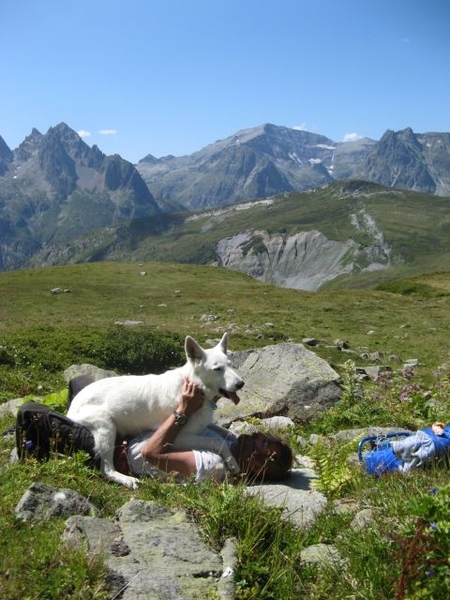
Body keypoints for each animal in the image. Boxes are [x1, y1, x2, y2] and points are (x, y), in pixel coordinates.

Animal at [67, 332, 244, 488]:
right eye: (217, 369)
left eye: (230, 365)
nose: (241, 384)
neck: (195, 386)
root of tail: (71, 408)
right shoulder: (179, 438)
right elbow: (217, 441)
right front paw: (233, 463)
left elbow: (224, 433)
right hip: (107, 428)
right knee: (106, 469)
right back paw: (127, 479)